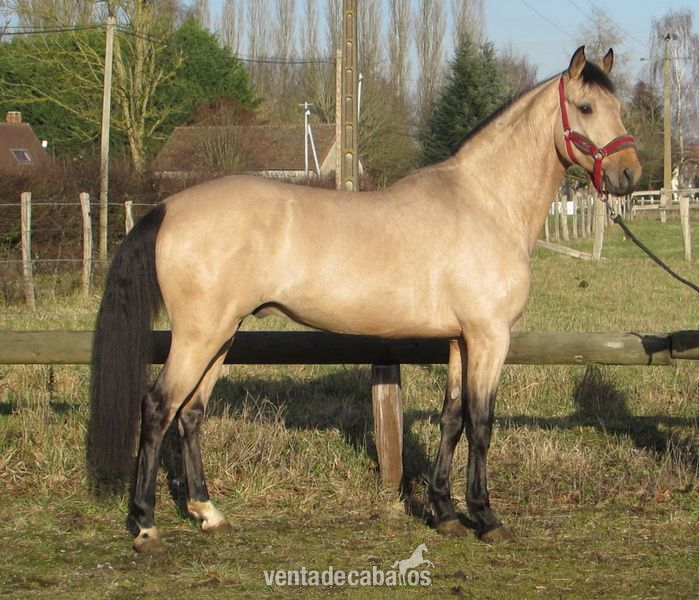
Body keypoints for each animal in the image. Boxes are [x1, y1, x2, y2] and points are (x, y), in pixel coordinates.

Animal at [88, 46, 641, 553]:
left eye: (619, 106)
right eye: (585, 107)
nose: (629, 175)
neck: (486, 202)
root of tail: (167, 207)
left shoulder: (461, 340)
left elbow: (452, 419)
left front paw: (443, 512)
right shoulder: (490, 336)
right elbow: (481, 423)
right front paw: (485, 517)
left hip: (221, 335)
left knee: (191, 413)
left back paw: (207, 511)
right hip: (200, 335)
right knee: (158, 408)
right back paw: (145, 525)